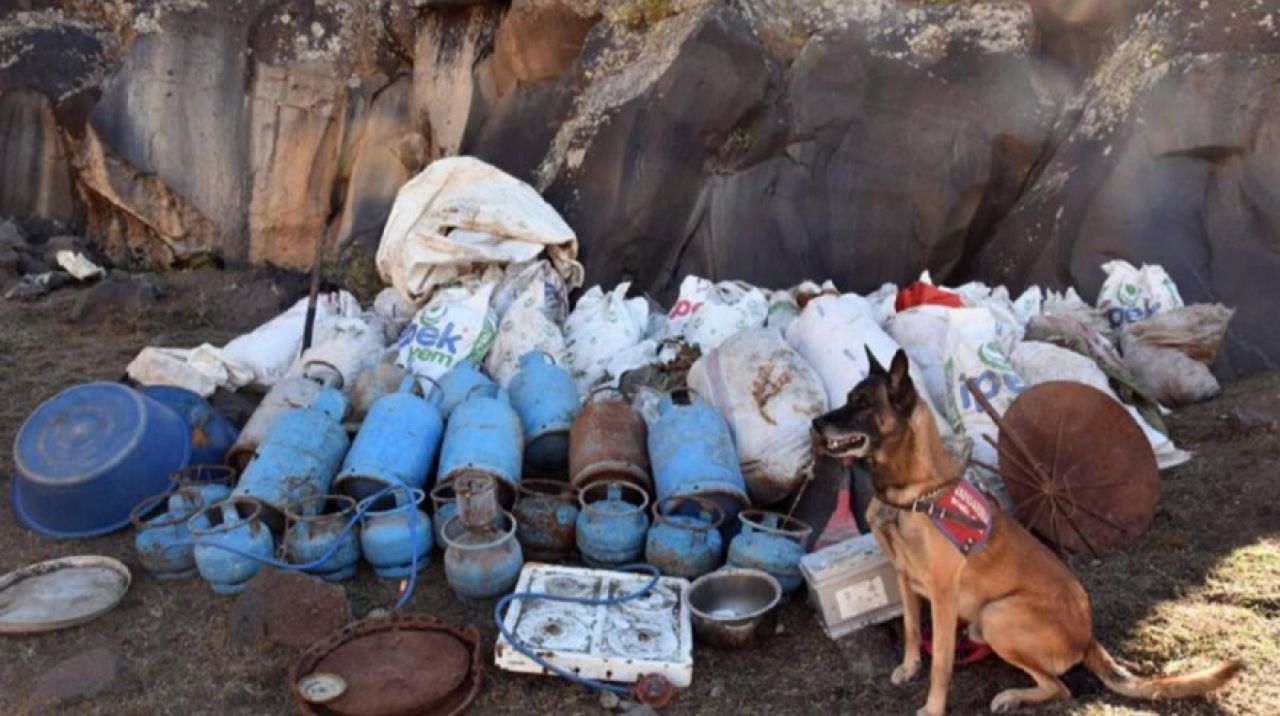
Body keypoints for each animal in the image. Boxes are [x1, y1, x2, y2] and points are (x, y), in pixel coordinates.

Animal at [808, 350, 1239, 712]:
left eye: (863, 404)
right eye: (848, 397)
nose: (815, 423)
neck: (911, 495)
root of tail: (1088, 636)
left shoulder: (942, 596)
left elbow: (942, 662)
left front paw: (932, 707)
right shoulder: (903, 577)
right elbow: (914, 630)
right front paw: (910, 666)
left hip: (999, 614)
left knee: (1059, 687)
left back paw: (1012, 696)